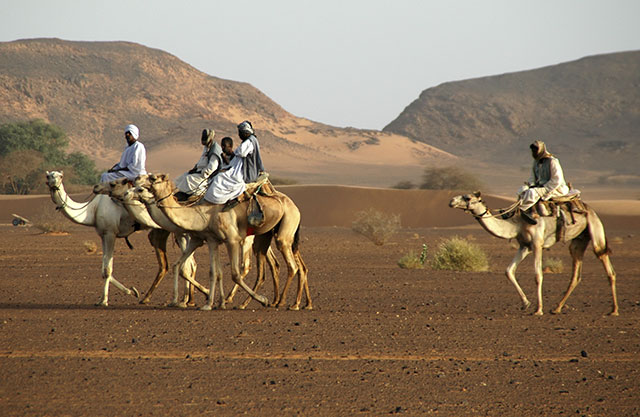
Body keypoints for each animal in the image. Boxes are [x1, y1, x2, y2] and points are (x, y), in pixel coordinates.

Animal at [45, 170, 140, 306]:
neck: (93, 209)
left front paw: (104, 301)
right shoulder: (103, 235)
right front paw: (132, 291)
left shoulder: (110, 233)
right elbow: (104, 270)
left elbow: (107, 270)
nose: (53, 182)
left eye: (61, 176)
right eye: (48, 176)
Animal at [141, 172, 312, 308]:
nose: (139, 186)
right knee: (276, 265)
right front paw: (210, 302)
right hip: (265, 236)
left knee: (291, 265)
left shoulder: (231, 240)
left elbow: (233, 273)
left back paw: (283, 302)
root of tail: (295, 207)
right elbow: (210, 271)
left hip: (284, 228)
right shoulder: (209, 240)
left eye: (153, 178)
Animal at [448, 192, 616, 316]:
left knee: (604, 260)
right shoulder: (524, 246)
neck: (518, 224)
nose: (451, 201)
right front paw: (526, 303)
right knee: (576, 273)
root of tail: (589, 209)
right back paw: (557, 308)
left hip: (595, 228)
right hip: (579, 240)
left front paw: (538, 309)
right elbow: (509, 271)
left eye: (468, 198)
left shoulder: (537, 244)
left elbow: (538, 275)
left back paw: (614, 310)